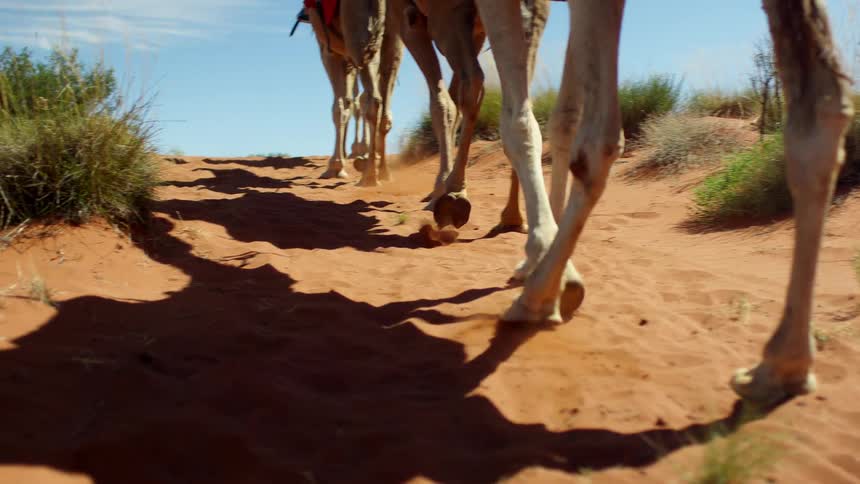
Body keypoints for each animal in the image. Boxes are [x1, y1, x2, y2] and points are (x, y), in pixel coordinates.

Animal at [304, 0, 403, 185]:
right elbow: (349, 102)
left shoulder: (329, 50)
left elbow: (340, 107)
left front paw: (336, 166)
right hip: (393, 41)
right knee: (382, 107)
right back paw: (382, 172)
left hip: (360, 38)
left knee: (371, 100)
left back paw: (369, 174)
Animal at [472, 0, 854, 406]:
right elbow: (556, 117)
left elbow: (519, 122)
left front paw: (540, 256)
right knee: (822, 112)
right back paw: (781, 368)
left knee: (598, 137)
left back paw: (538, 296)